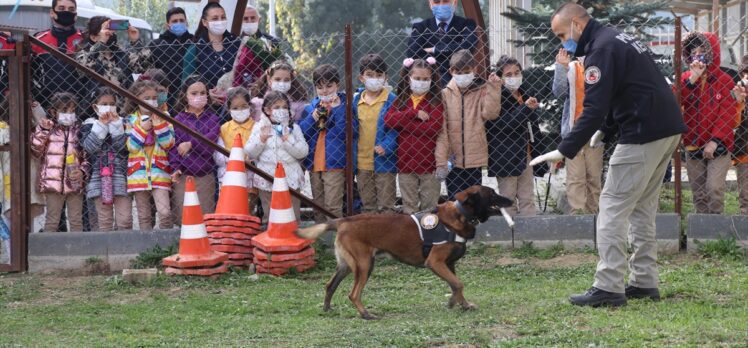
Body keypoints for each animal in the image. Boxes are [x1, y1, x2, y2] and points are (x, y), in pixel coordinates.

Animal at [296, 186, 512, 320]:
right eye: (492, 194)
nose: (510, 200)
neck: (461, 215)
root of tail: (343, 220)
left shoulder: (449, 265)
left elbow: (455, 286)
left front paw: (463, 304)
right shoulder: (435, 262)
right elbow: (458, 284)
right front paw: (453, 302)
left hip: (347, 266)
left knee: (330, 285)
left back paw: (327, 308)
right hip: (364, 264)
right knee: (353, 293)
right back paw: (366, 314)